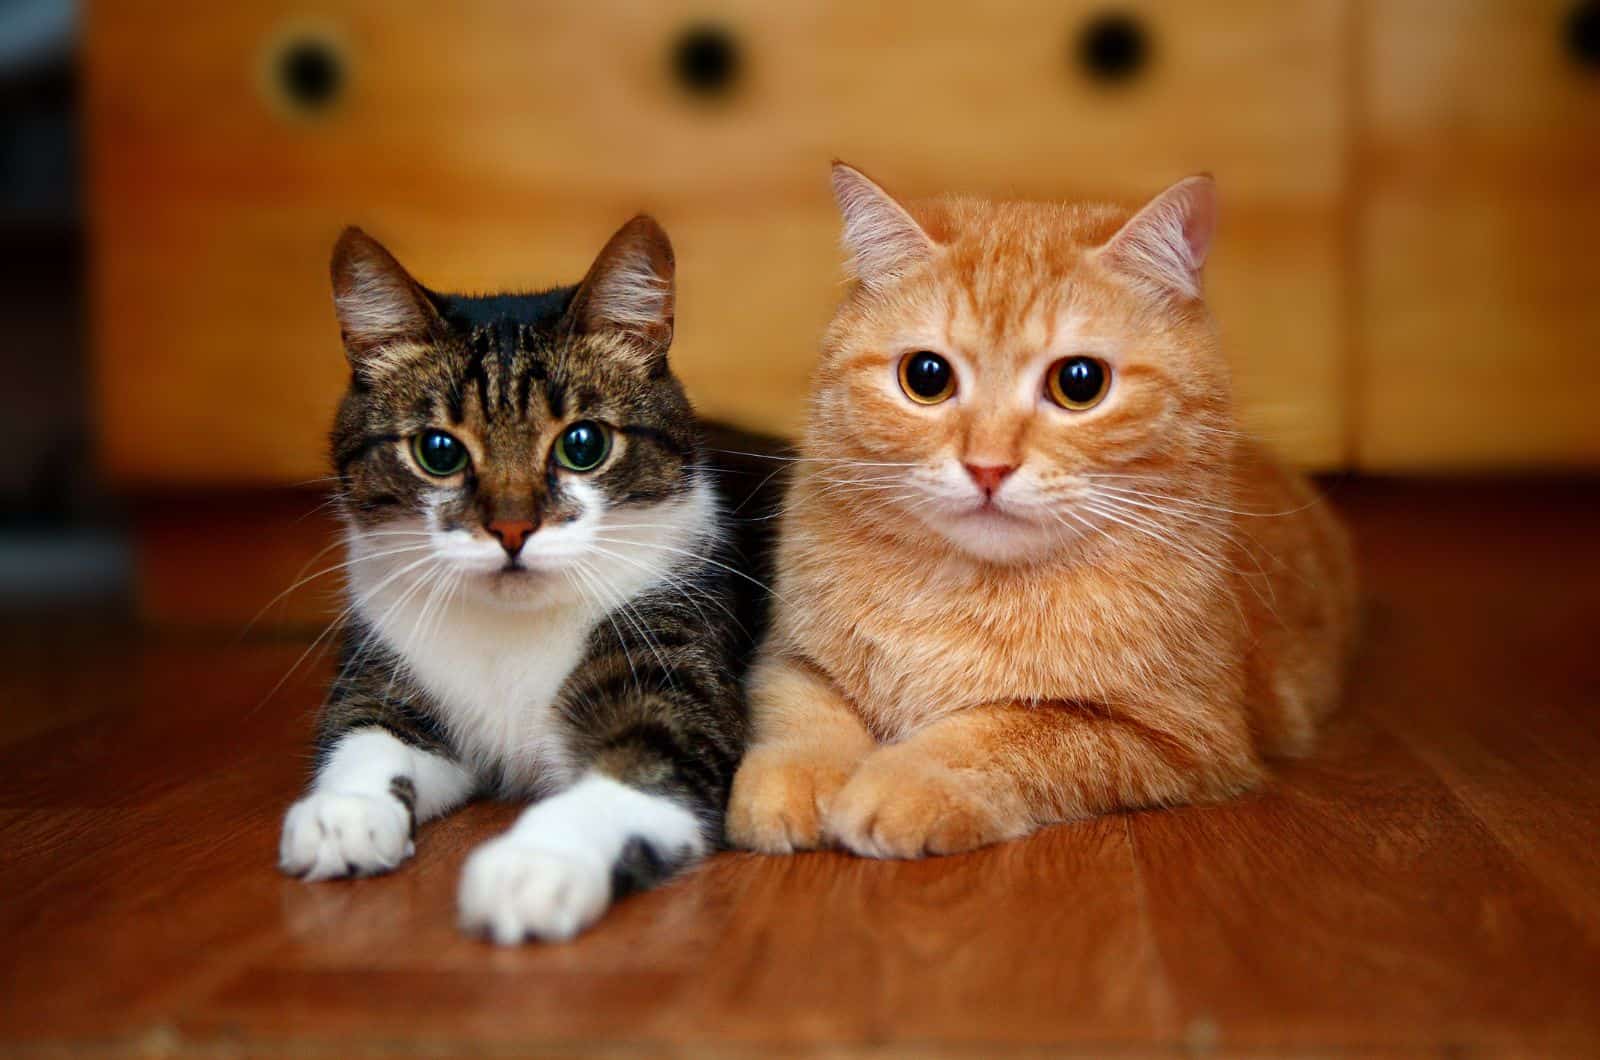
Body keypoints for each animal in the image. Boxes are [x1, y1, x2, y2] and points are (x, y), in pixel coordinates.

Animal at [275, 217, 761, 947]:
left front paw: (534, 864)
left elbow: (639, 767)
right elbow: (368, 731)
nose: (511, 529)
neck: (512, 633)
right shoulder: (386, 657)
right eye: (437, 452)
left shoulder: (679, 675)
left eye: (583, 445)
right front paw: (344, 812)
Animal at [732, 166, 1356, 864]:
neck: (964, 592)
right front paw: (796, 779)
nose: (988, 467)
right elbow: (804, 717)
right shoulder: (790, 660)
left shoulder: (1179, 737)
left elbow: (1004, 734)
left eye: (1080, 382)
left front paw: (906, 780)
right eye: (926, 376)